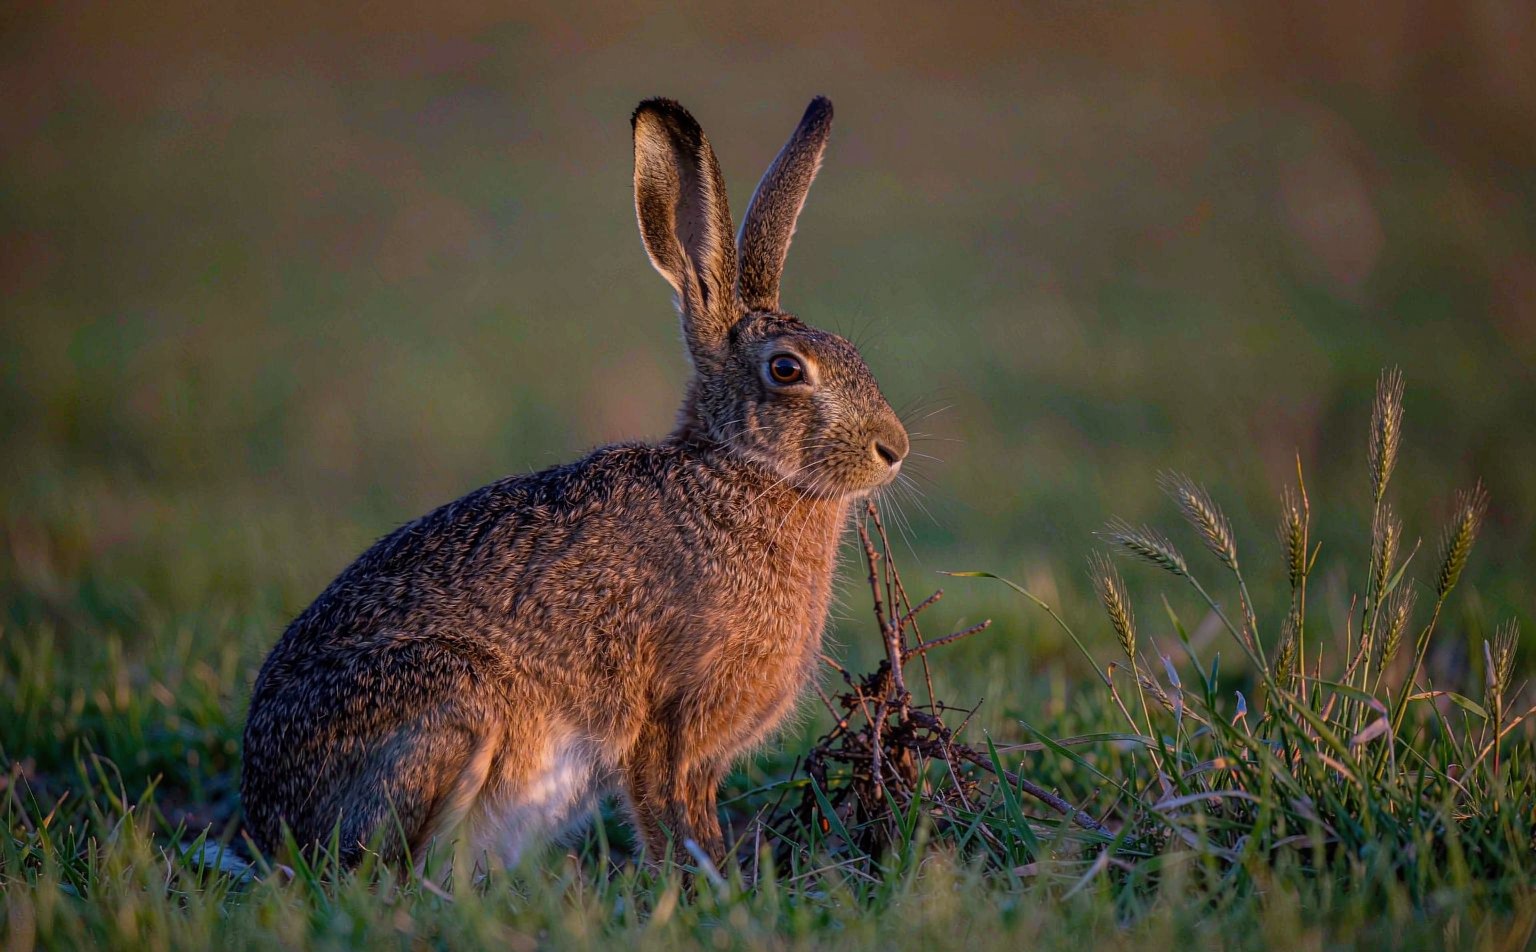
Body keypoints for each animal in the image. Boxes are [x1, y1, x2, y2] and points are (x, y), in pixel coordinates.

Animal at [240, 95, 909, 871]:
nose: (894, 448)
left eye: (851, 352)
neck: (740, 472)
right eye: (787, 369)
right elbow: (670, 815)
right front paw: (704, 884)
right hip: (452, 704)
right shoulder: (666, 721)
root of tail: (266, 817)